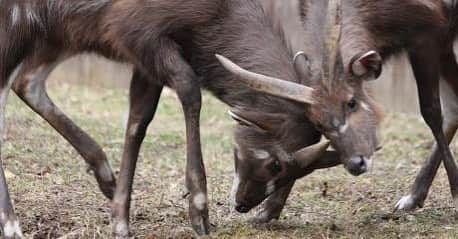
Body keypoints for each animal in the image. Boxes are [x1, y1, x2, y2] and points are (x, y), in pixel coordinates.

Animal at [0, 0, 380, 237]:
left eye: (301, 171)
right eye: (276, 163)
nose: (243, 205)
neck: (210, 16)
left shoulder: (142, 56)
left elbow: (138, 121)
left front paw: (119, 220)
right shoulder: (139, 33)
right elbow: (188, 88)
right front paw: (199, 210)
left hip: (57, 32)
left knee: (26, 81)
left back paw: (104, 175)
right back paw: (12, 225)